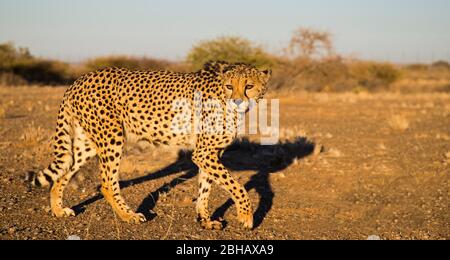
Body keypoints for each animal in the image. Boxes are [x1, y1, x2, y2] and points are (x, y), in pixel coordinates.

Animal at [31, 61, 272, 230]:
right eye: (230, 86)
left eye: (249, 86)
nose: (237, 101)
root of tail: (79, 79)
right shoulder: (204, 153)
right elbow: (236, 186)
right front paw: (246, 216)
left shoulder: (210, 153)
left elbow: (206, 186)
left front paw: (204, 219)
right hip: (112, 137)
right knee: (107, 182)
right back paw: (128, 215)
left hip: (88, 142)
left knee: (64, 172)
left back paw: (58, 210)